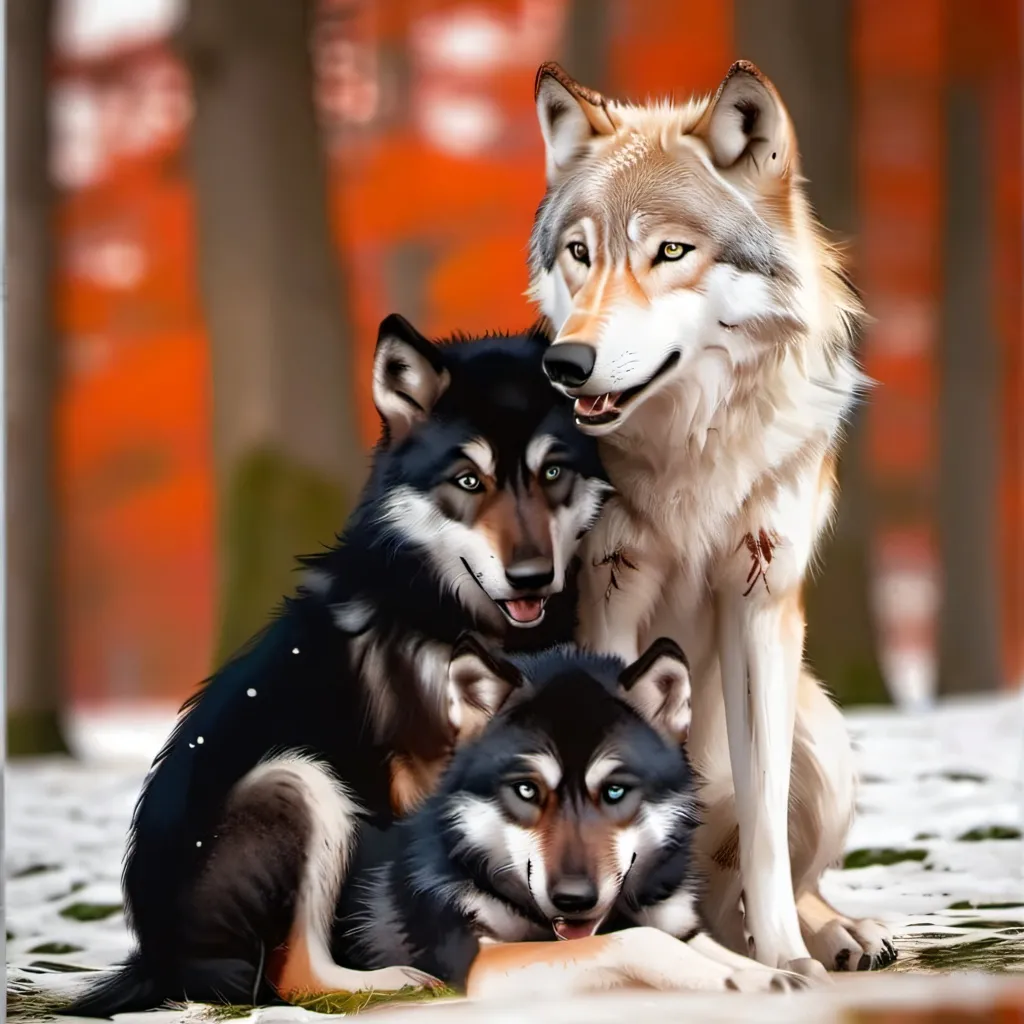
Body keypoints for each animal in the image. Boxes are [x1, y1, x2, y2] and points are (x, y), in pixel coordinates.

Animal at [65, 314, 609, 1017]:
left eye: (553, 473)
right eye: (468, 481)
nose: (532, 576)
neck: (443, 609)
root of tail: (155, 961)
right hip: (300, 782)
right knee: (292, 975)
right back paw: (398, 979)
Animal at [330, 633, 804, 998]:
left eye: (614, 791)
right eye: (527, 789)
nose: (574, 900)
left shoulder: (678, 923)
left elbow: (696, 943)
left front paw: (770, 974)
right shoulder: (483, 961)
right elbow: (639, 939)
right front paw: (731, 978)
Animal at [527, 61, 897, 979]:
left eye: (669, 250)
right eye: (581, 252)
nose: (567, 362)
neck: (690, 455)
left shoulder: (760, 599)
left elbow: (765, 830)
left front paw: (790, 958)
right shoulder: (611, 594)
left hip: (822, 735)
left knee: (769, 879)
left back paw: (835, 935)